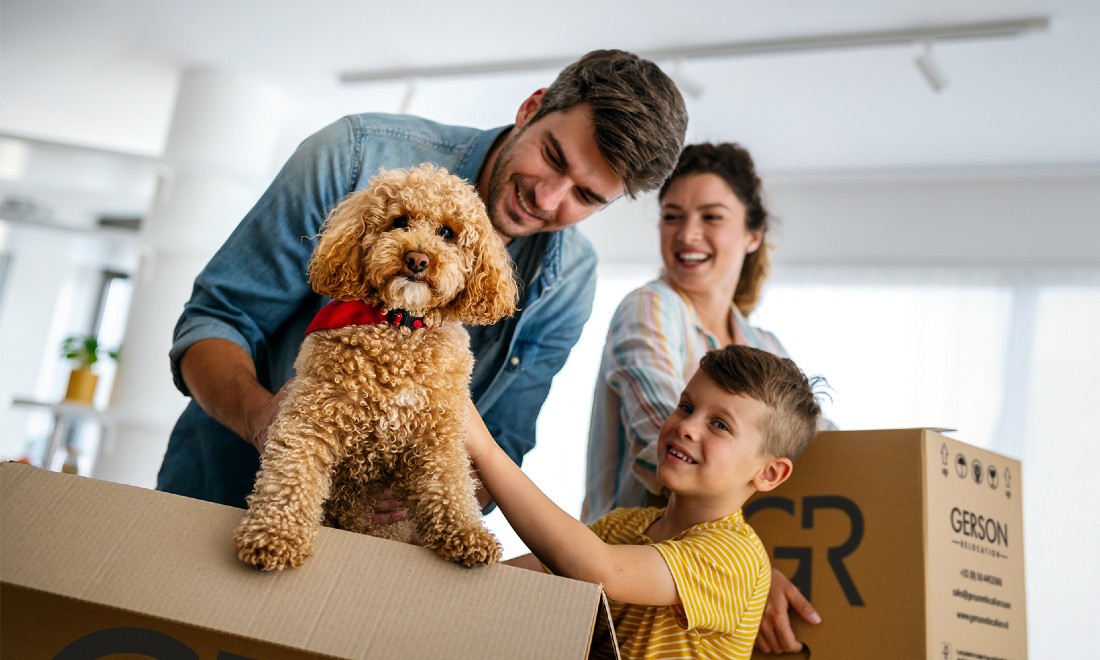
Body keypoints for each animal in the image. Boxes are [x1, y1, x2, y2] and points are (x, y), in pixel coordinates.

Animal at [232, 165, 514, 572]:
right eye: (399, 222)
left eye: (447, 233)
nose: (417, 259)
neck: (398, 325)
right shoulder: (311, 417)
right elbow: (291, 473)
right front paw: (275, 533)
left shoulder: (438, 437)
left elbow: (451, 485)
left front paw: (468, 534)